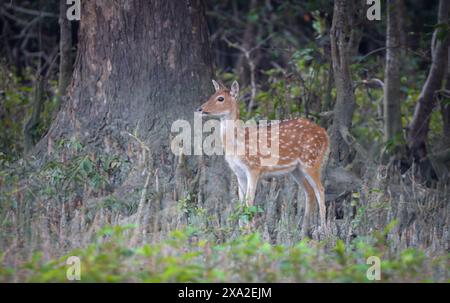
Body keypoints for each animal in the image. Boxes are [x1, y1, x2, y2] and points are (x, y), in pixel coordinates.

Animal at [198, 80, 330, 235]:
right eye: (212, 95)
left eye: (220, 98)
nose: (200, 109)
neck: (238, 143)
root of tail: (325, 135)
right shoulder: (239, 173)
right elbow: (241, 203)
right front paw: (241, 233)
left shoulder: (254, 168)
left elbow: (249, 202)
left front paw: (249, 232)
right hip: (296, 169)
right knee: (309, 192)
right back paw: (303, 231)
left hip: (311, 161)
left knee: (320, 190)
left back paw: (324, 231)